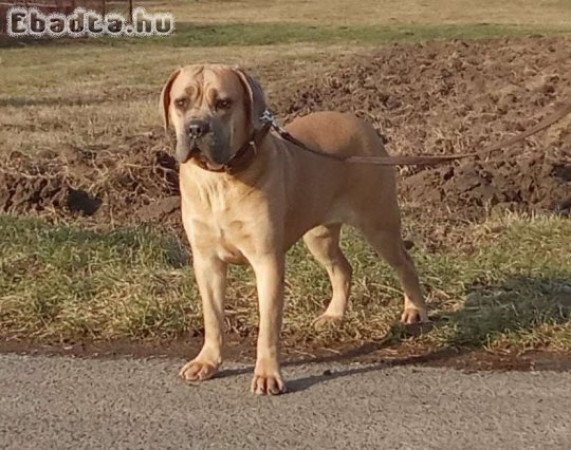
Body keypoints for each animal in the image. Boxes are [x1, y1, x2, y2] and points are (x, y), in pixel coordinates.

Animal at [161, 65, 428, 396]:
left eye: (223, 103)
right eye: (181, 102)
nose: (196, 128)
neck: (221, 179)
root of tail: (361, 122)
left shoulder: (267, 261)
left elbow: (268, 325)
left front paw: (267, 375)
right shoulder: (207, 261)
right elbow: (212, 317)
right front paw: (207, 361)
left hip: (379, 222)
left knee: (404, 262)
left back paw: (415, 310)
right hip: (319, 236)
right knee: (342, 268)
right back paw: (334, 315)